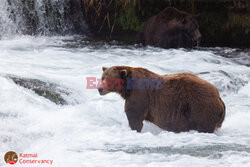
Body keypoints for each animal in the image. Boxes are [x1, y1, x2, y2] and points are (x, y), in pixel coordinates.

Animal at [97, 66, 225, 133]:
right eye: (102, 77)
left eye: (109, 79)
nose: (100, 89)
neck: (127, 88)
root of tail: (219, 97)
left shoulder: (140, 95)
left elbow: (135, 116)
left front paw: (135, 129)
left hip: (200, 107)